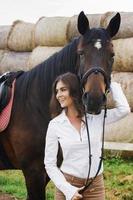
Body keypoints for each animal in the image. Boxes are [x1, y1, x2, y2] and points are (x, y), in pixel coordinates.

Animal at [0, 11, 120, 199]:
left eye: (112, 55)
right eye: (81, 53)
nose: (94, 100)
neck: (34, 106)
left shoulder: (49, 170)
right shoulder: (33, 172)